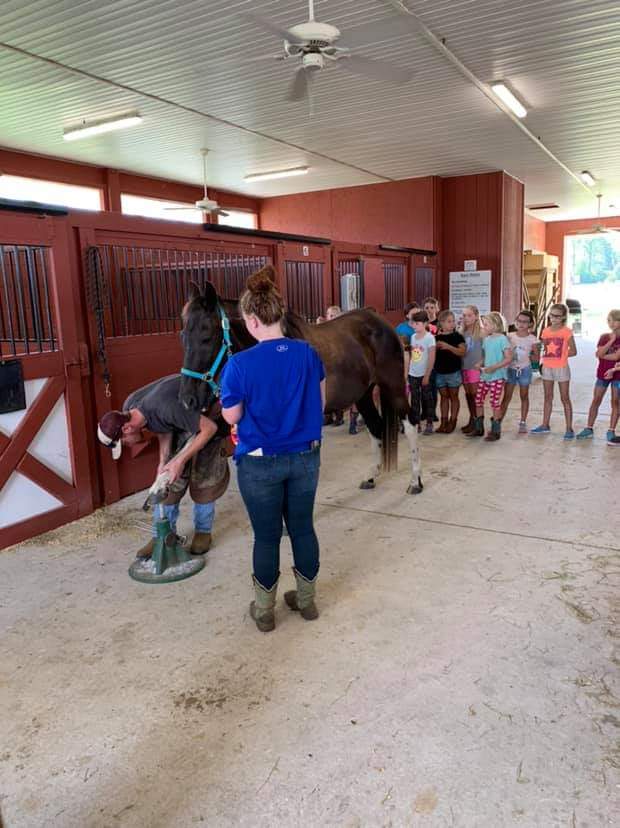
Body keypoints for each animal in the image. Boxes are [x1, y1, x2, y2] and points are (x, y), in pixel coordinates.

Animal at [177, 270, 424, 492]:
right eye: (183, 336)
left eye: (207, 337)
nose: (188, 399)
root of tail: (382, 324)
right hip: (363, 393)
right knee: (376, 426)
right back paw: (371, 477)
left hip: (393, 386)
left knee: (410, 424)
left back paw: (415, 481)